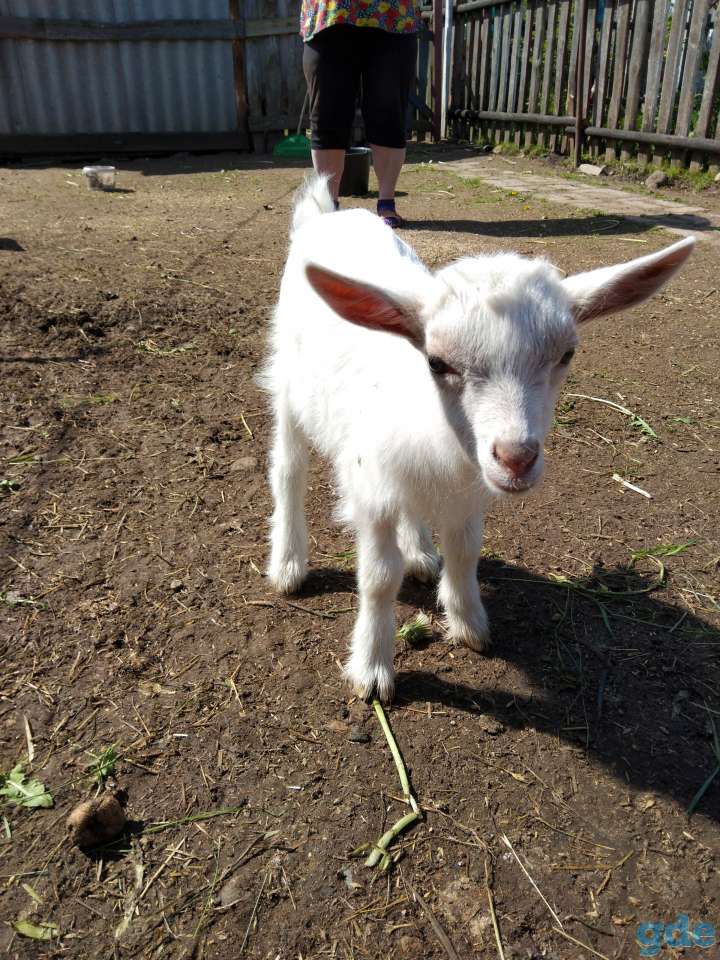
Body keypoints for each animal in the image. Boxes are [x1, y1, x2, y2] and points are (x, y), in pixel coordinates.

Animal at [265, 175, 694, 702]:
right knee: (288, 471)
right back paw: (288, 565)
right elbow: (379, 579)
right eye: (436, 362)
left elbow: (466, 552)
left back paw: (421, 553)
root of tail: (328, 214)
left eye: (566, 354)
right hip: (288, 387)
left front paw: (469, 623)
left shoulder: (467, 490)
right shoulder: (372, 490)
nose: (516, 458)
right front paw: (371, 668)